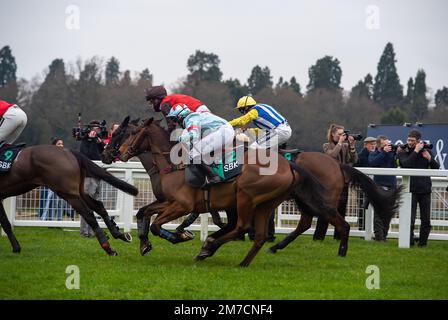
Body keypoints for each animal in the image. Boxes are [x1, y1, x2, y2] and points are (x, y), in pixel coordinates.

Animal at [0, 146, 138, 256]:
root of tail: (68, 151)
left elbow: (6, 223)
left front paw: (16, 248)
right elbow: (5, 223)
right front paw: (16, 247)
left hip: (68, 193)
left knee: (88, 214)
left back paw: (107, 247)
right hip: (78, 191)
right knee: (98, 206)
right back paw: (118, 234)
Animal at [117, 119, 342, 266]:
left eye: (132, 133)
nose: (118, 152)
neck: (174, 165)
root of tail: (288, 165)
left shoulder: (183, 205)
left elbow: (156, 225)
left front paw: (180, 236)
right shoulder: (169, 201)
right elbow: (143, 212)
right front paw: (144, 244)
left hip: (245, 196)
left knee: (242, 226)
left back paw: (208, 247)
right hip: (266, 203)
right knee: (260, 234)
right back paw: (242, 261)